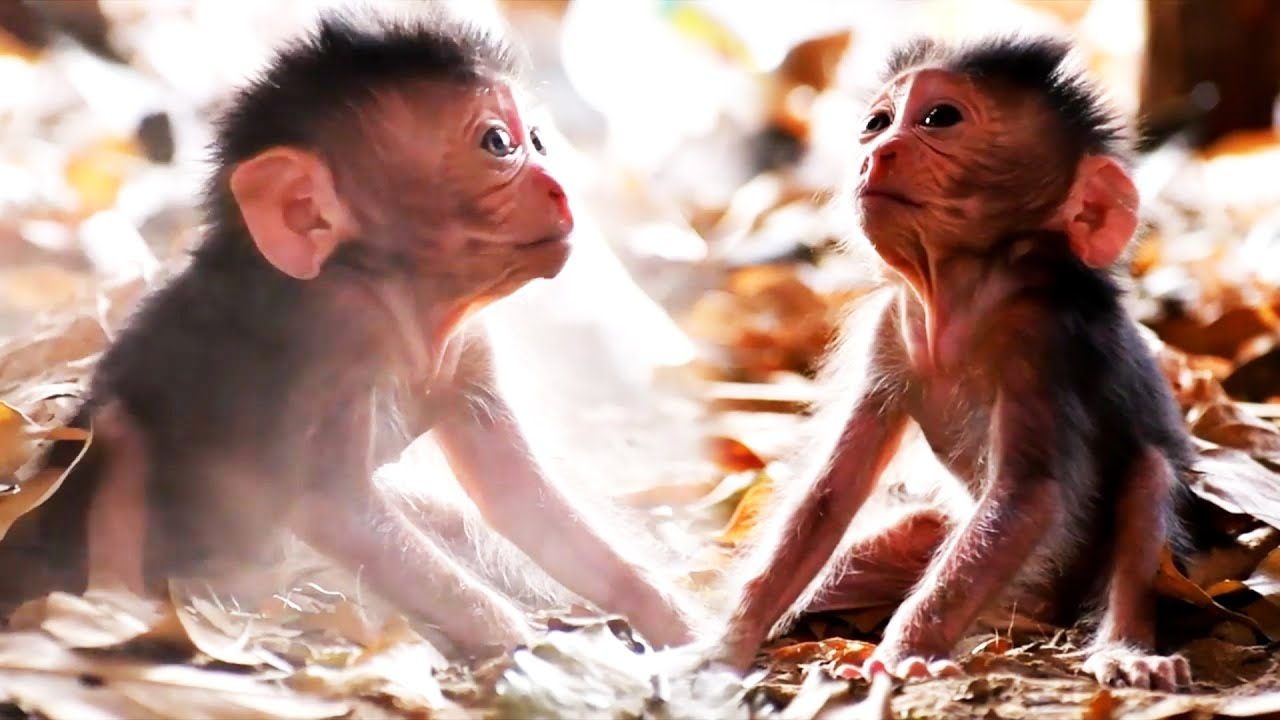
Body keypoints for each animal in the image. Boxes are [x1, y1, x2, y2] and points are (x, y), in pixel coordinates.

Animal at [2, 9, 698, 657]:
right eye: (499, 143)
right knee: (120, 436)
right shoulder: (334, 340)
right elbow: (333, 509)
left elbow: (516, 498)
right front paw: (521, 647)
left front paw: (668, 620)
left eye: (538, 140)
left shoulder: (468, 346)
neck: (395, 300)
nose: (558, 189)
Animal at [705, 35, 1201, 691]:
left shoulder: (1038, 335)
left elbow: (1027, 497)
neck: (957, 302)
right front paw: (726, 640)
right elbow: (830, 492)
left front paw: (903, 651)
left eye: (940, 118)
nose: (878, 151)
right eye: (878, 122)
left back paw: (1125, 648)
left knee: (1149, 473)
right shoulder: (890, 327)